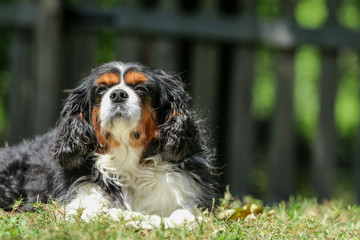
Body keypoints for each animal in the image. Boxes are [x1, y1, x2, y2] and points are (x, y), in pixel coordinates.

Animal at [0, 61, 217, 228]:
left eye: (141, 88)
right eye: (101, 89)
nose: (118, 94)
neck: (128, 158)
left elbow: (185, 213)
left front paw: (183, 220)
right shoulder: (79, 205)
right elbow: (118, 213)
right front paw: (156, 221)